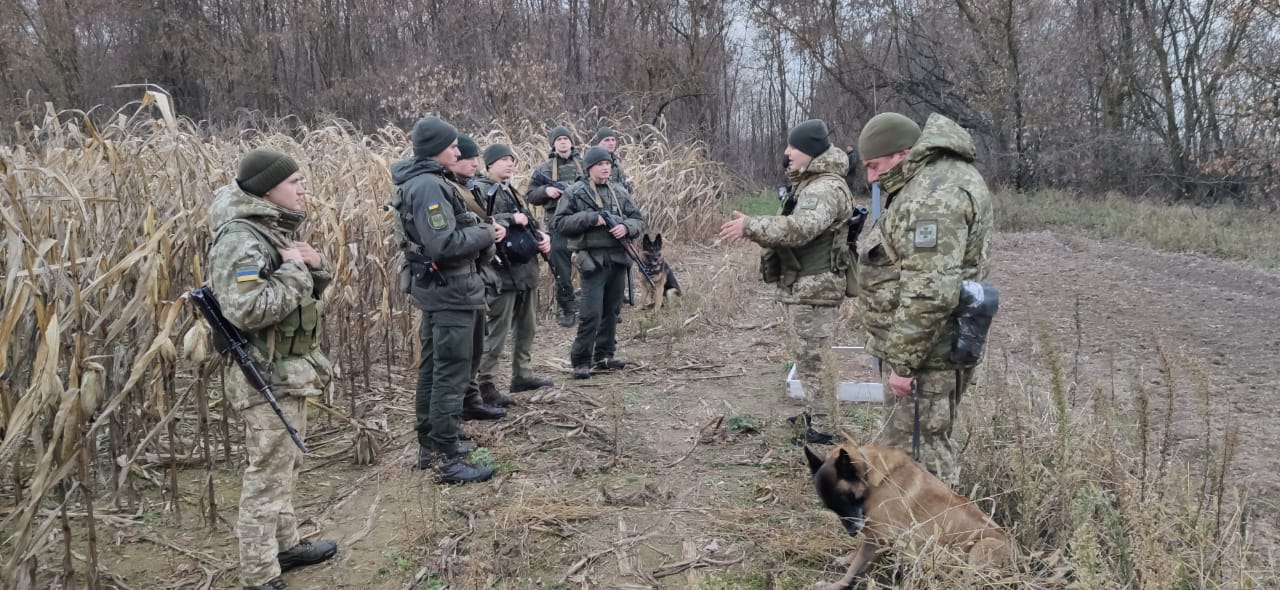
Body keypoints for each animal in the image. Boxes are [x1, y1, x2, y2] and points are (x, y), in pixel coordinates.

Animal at [798, 442, 1018, 586]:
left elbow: (853, 571)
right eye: (831, 507)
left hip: (980, 549)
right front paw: (847, 558)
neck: (874, 477)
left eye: (845, 499)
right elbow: (858, 550)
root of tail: (1019, 557)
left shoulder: (876, 538)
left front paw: (836, 584)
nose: (852, 532)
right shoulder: (871, 531)